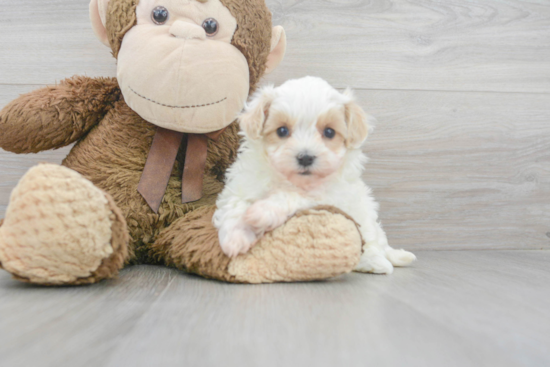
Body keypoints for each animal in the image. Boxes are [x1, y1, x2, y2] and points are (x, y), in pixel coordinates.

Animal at [213, 77, 416, 274]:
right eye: (282, 131)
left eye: (329, 132)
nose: (305, 157)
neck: (289, 179)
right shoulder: (242, 185)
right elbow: (235, 206)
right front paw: (235, 239)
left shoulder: (328, 197)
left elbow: (292, 196)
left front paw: (263, 211)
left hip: (367, 221)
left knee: (374, 245)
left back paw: (377, 262)